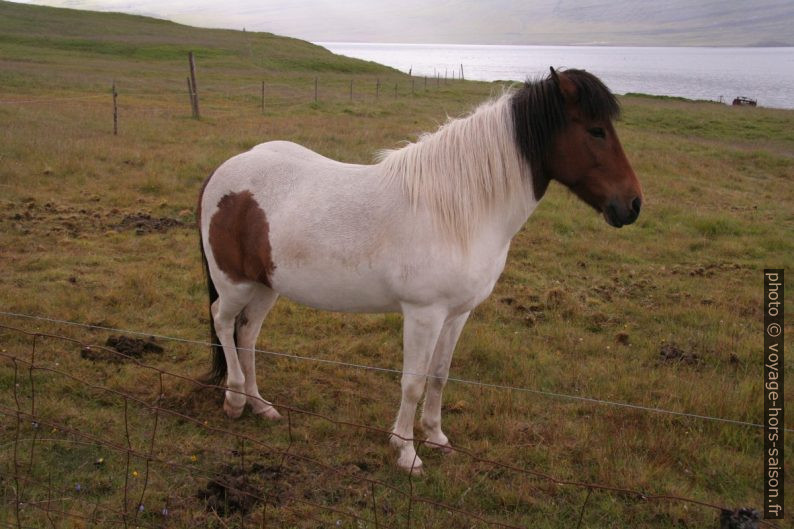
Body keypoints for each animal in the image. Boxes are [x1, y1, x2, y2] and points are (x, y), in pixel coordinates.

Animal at [200, 68, 644, 472]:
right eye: (596, 131)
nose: (633, 204)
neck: (459, 210)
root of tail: (224, 171)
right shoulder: (423, 314)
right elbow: (412, 382)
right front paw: (406, 452)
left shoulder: (457, 313)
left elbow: (439, 376)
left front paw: (436, 437)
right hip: (235, 284)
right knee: (223, 322)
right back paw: (235, 399)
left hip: (266, 285)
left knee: (247, 335)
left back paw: (261, 406)